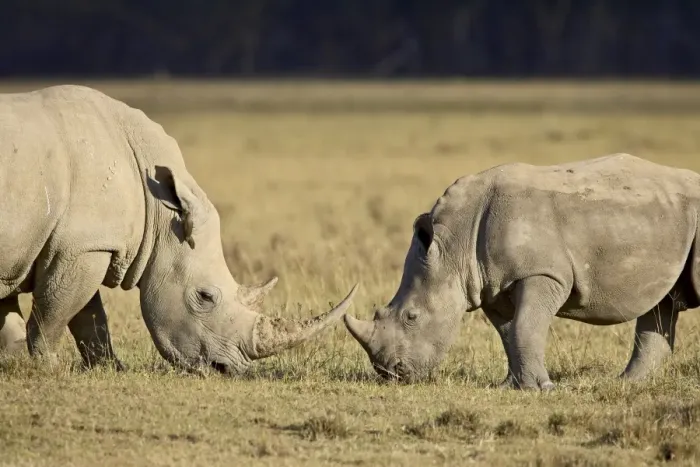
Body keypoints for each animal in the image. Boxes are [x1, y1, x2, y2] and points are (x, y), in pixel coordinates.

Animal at [0, 84, 357, 374]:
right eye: (205, 297)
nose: (227, 369)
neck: (159, 211)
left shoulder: (86, 243)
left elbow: (88, 316)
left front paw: (108, 368)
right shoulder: (83, 246)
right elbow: (55, 312)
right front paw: (46, 368)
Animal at [344, 153, 700, 390]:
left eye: (412, 317)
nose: (390, 373)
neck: (454, 244)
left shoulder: (541, 272)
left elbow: (524, 326)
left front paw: (540, 389)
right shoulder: (491, 284)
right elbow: (509, 331)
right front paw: (513, 386)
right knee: (662, 303)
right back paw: (626, 384)